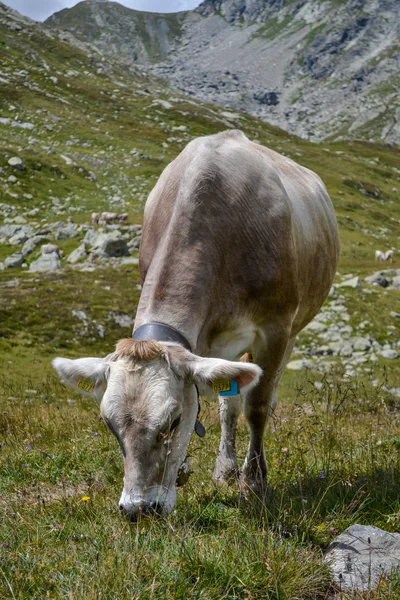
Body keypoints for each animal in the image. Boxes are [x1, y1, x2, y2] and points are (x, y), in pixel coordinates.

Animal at [51, 131, 340, 520]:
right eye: (108, 424)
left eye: (172, 422)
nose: (138, 509)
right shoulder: (198, 341)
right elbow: (210, 401)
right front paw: (188, 466)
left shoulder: (275, 328)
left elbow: (257, 406)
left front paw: (255, 482)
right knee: (228, 403)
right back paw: (225, 468)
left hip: (293, 328)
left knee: (259, 398)